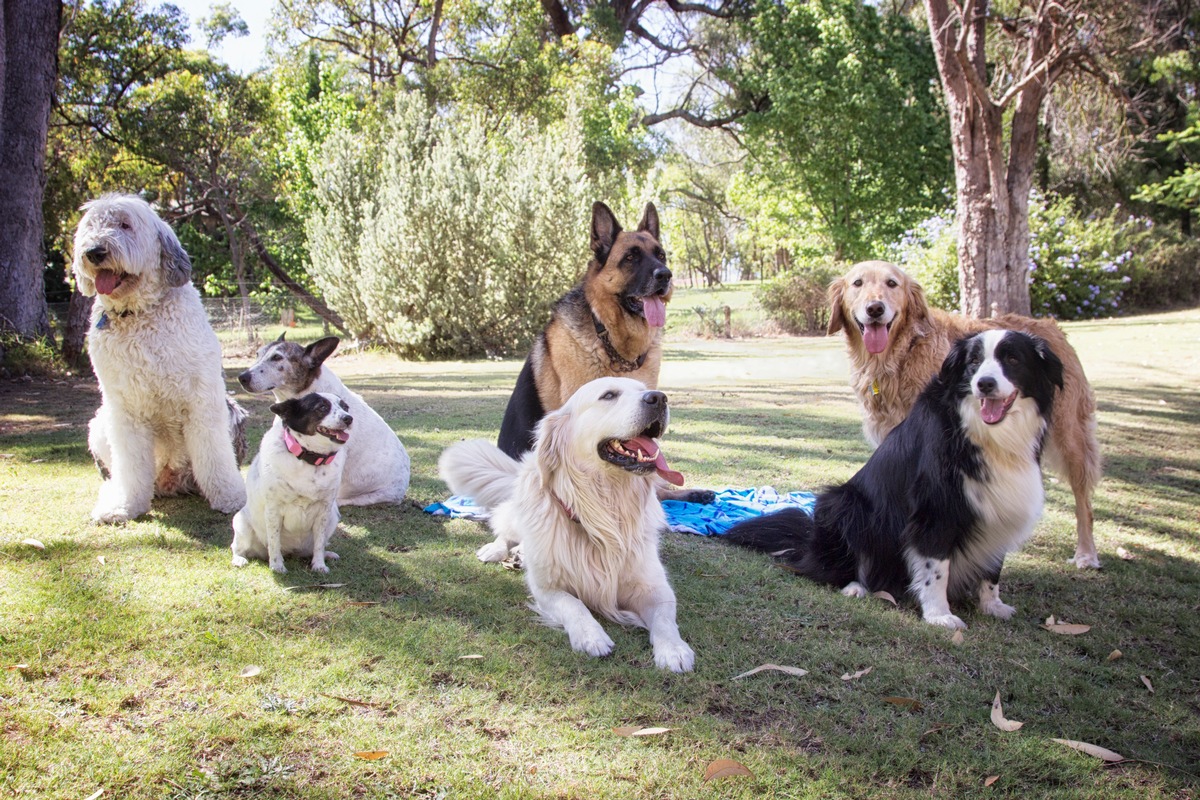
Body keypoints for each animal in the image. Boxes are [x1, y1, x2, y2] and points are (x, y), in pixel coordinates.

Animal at [73, 195, 247, 525]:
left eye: (125, 224)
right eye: (92, 226)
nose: (94, 251)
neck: (139, 314)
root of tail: (170, 479)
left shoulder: (202, 398)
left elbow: (214, 454)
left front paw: (231, 497)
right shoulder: (124, 407)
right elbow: (130, 462)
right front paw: (124, 505)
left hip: (230, 412)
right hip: (100, 423)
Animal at [439, 379, 696, 671]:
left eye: (646, 388)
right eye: (609, 395)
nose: (660, 398)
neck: (604, 511)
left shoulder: (655, 586)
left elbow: (665, 619)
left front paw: (674, 650)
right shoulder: (547, 588)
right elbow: (574, 605)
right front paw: (592, 636)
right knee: (505, 528)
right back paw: (497, 549)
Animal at [724, 328, 1065, 628]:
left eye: (1013, 359)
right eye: (973, 362)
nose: (985, 383)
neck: (984, 436)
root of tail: (809, 542)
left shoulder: (1001, 504)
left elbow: (993, 568)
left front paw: (992, 605)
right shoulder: (935, 509)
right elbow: (935, 568)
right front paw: (939, 615)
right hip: (843, 504)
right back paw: (855, 586)